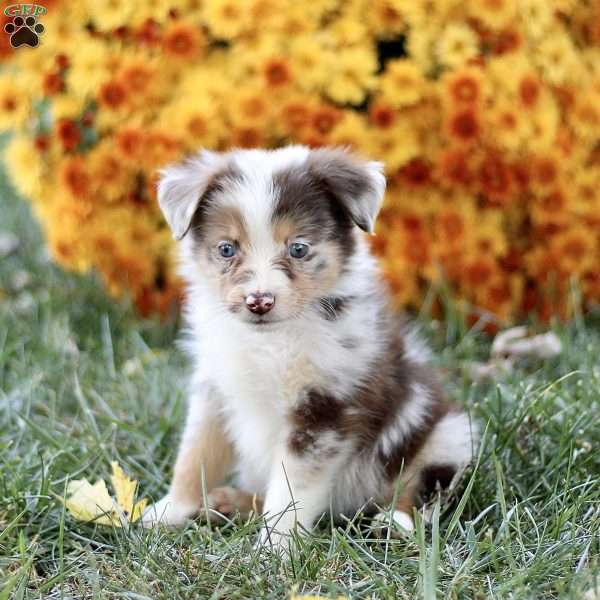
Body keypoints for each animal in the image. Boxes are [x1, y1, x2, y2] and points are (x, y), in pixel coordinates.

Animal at [142, 144, 478, 548]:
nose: (259, 301)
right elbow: (195, 455)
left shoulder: (323, 408)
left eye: (298, 249)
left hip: (449, 434)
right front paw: (170, 512)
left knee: (424, 489)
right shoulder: (216, 389)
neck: (272, 342)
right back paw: (230, 503)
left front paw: (273, 549)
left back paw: (394, 522)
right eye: (226, 249)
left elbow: (291, 490)